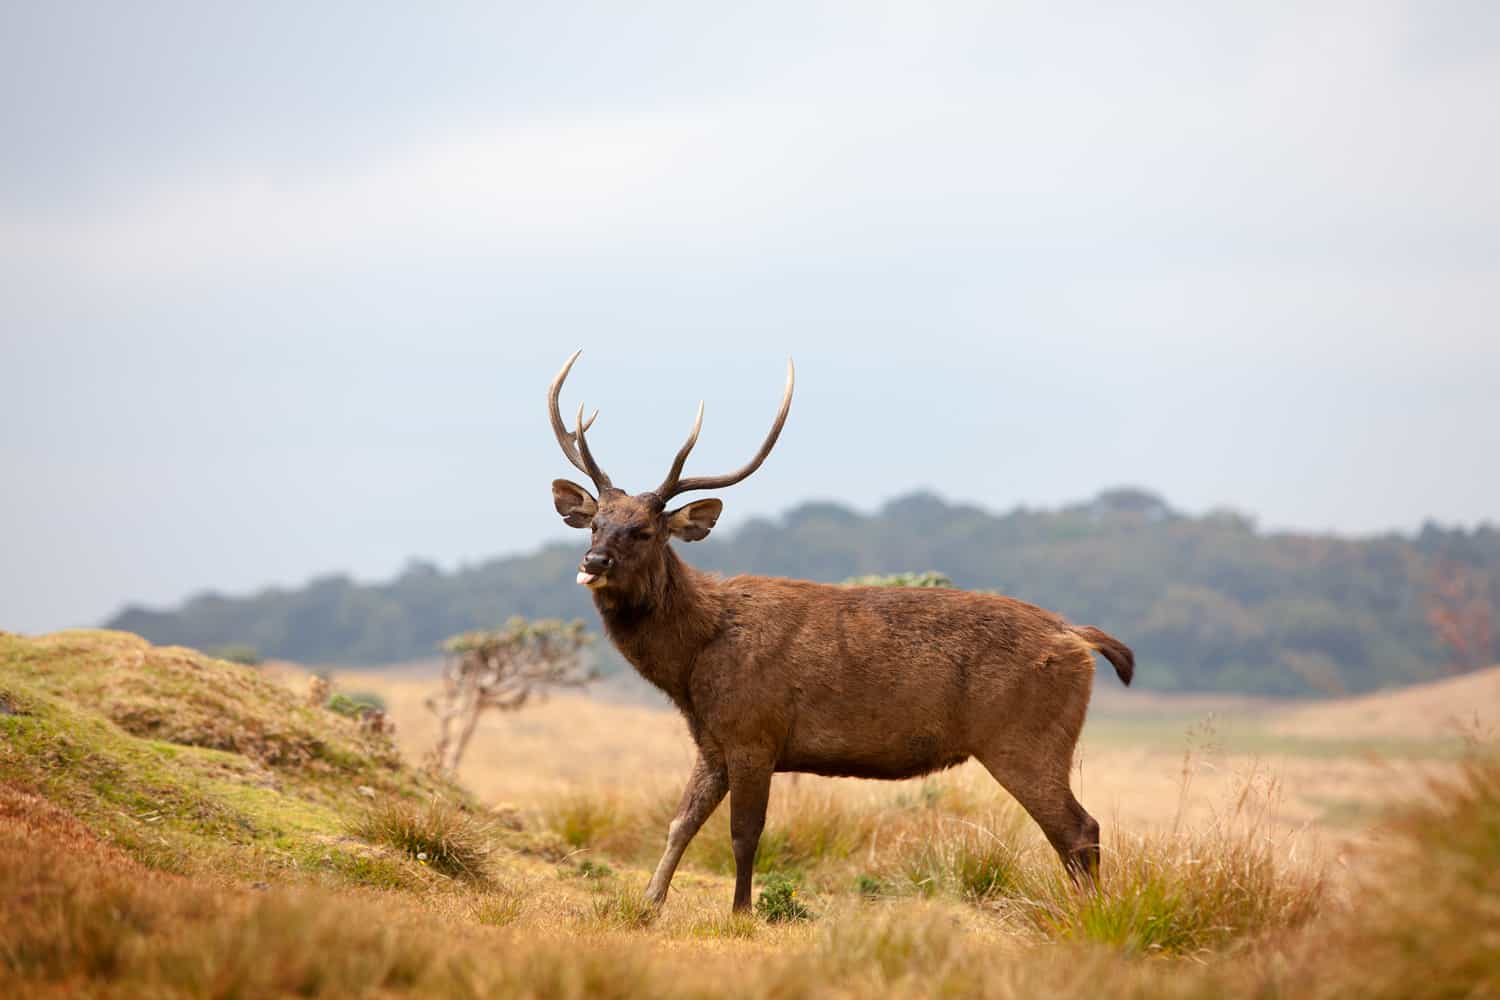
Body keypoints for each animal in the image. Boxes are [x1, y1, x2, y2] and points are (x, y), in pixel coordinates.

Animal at [546, 353, 1128, 917]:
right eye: (595, 523)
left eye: (644, 531)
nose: (594, 562)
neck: (693, 661)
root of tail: (1078, 637)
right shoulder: (712, 740)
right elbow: (679, 823)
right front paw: (649, 903)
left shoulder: (755, 730)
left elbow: (744, 834)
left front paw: (741, 912)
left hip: (1025, 736)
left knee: (1080, 829)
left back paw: (1091, 917)